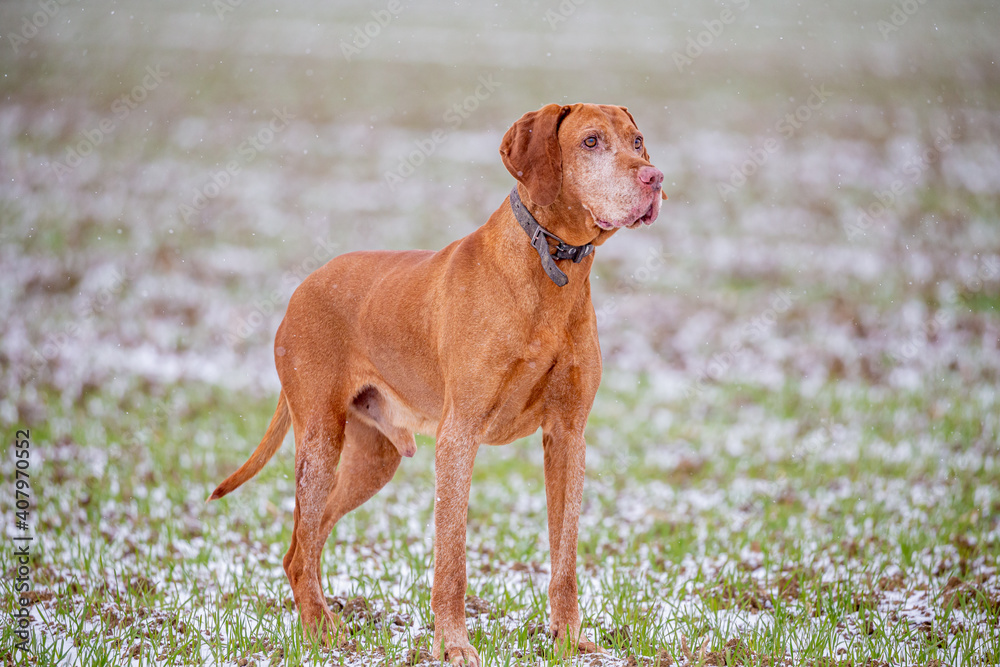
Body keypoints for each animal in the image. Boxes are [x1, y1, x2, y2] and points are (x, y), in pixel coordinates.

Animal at [210, 102, 664, 664]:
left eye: (637, 141)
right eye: (592, 142)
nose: (654, 177)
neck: (550, 269)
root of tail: (303, 286)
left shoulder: (567, 437)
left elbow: (566, 557)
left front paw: (569, 640)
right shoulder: (458, 437)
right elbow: (452, 560)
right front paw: (453, 646)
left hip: (373, 460)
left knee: (303, 544)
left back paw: (324, 622)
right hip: (319, 439)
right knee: (302, 543)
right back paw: (322, 634)